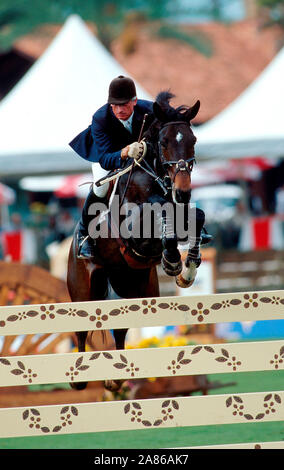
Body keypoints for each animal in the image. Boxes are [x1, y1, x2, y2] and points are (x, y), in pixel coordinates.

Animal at [66, 90, 204, 392]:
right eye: (164, 142)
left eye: (193, 140)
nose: (183, 192)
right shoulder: (134, 233)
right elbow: (158, 218)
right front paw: (173, 260)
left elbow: (196, 218)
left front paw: (186, 270)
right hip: (84, 287)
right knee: (80, 330)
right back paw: (79, 379)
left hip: (135, 287)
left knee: (120, 329)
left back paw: (117, 378)